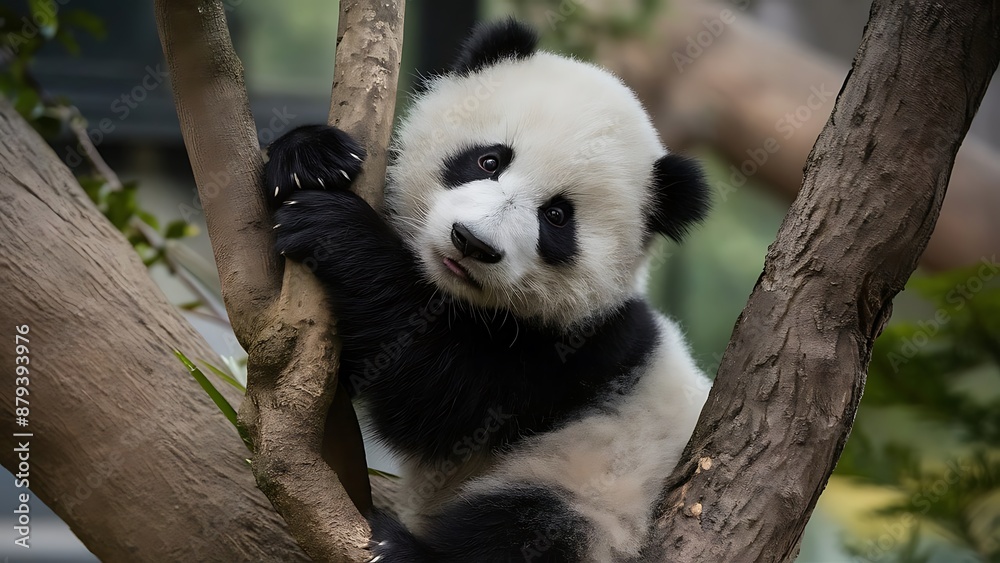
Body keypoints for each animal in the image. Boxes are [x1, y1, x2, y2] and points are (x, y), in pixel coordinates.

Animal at [265, 19, 712, 563]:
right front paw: (308, 157)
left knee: (528, 526)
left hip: (597, 488)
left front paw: (338, 231)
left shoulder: (574, 357)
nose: (472, 242)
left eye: (557, 216)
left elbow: (437, 393)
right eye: (489, 160)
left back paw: (401, 549)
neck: (450, 295)